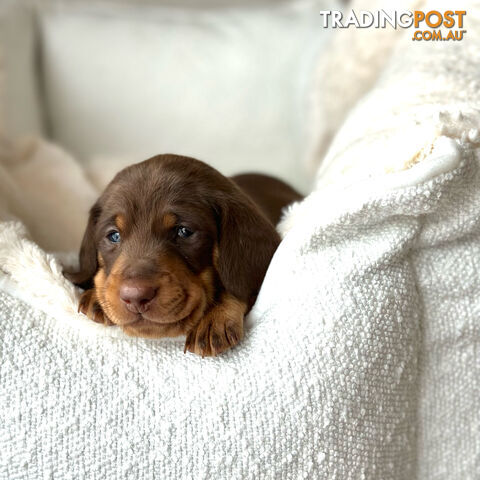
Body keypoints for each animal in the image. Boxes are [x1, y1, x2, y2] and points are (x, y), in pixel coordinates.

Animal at [64, 155, 302, 356]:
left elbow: (238, 285)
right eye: (113, 235)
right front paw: (97, 296)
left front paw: (215, 318)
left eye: (184, 231)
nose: (135, 296)